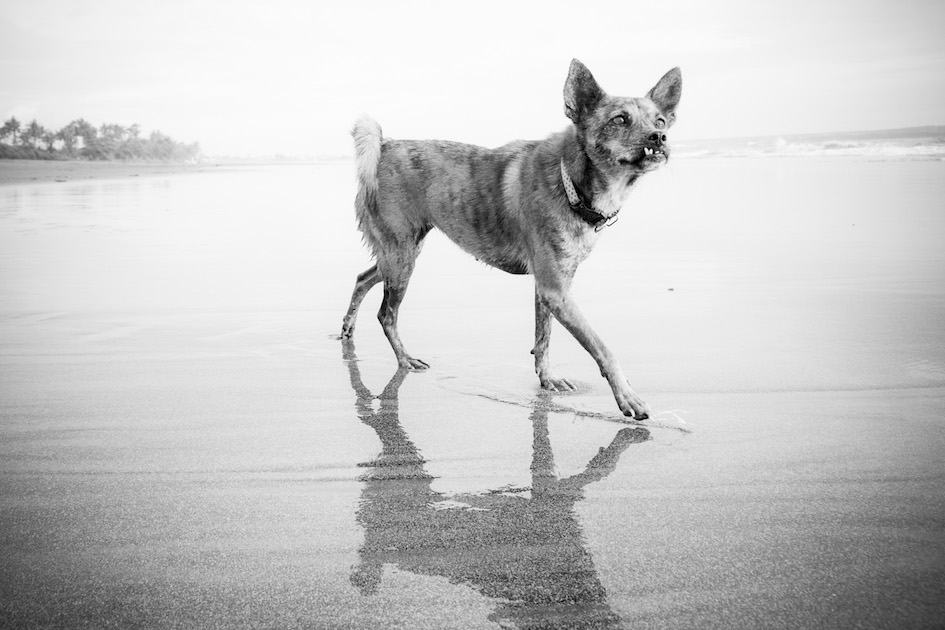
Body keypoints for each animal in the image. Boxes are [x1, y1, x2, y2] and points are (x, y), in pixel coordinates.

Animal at [342, 59, 684, 420]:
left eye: (660, 121)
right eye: (620, 119)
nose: (659, 137)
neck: (571, 180)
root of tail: (384, 146)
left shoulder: (551, 288)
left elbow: (543, 338)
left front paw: (547, 379)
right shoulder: (555, 291)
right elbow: (601, 348)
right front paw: (627, 397)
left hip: (398, 255)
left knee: (363, 278)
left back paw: (348, 330)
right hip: (402, 259)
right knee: (387, 314)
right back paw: (405, 359)